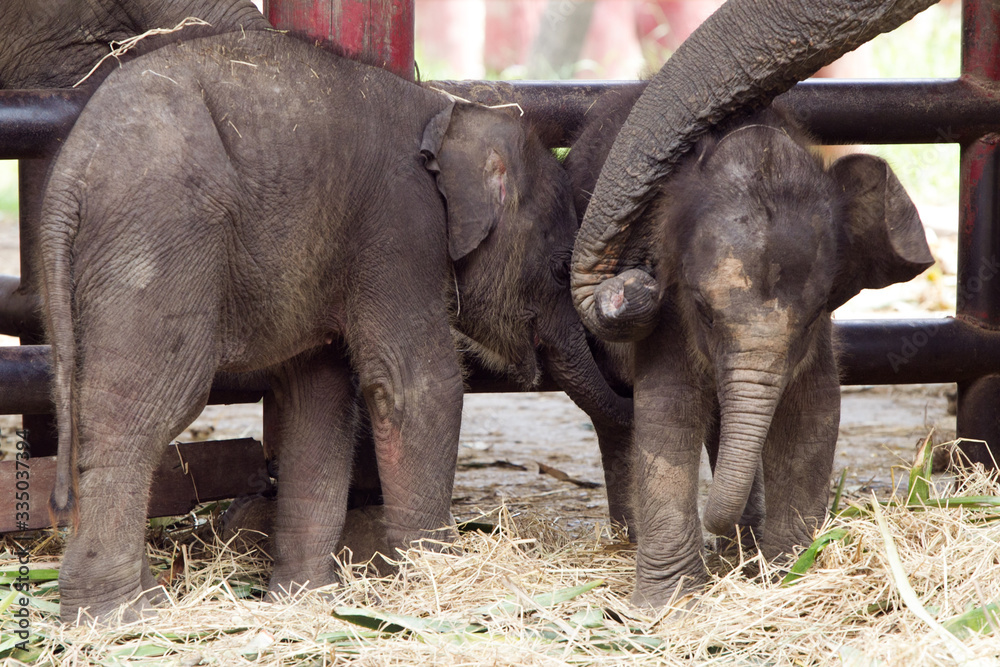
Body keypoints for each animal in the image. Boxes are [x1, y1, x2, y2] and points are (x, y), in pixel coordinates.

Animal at [38, 29, 629, 623]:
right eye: (558, 267)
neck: (449, 108)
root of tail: (68, 176)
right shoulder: (399, 229)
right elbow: (416, 385)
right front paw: (439, 576)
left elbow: (318, 400)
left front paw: (305, 600)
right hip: (157, 240)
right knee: (145, 408)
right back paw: (117, 617)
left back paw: (145, 602)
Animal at [568, 0, 939, 608]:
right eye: (701, 309)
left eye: (814, 314)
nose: (629, 288)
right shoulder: (668, 314)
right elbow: (667, 410)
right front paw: (668, 606)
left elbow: (813, 411)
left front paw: (788, 574)